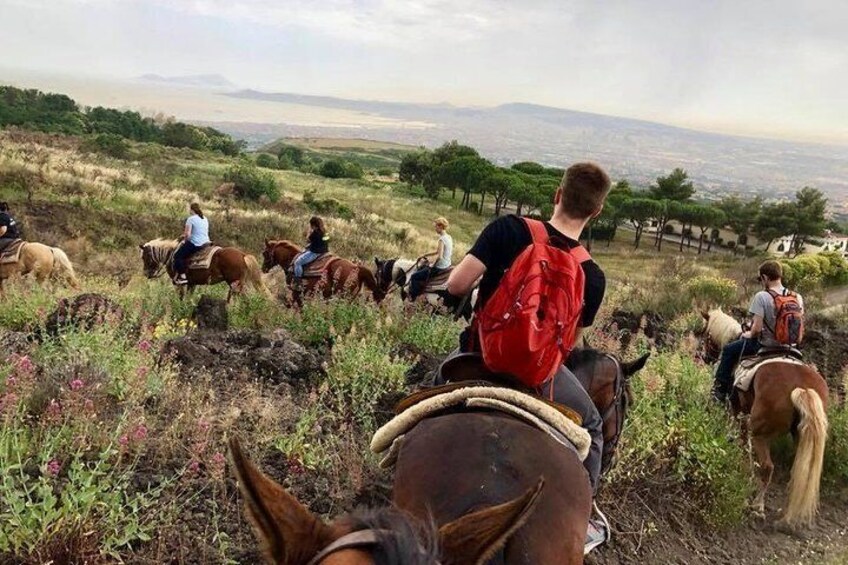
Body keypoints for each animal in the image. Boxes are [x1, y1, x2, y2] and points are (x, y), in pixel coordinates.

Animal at [138, 237, 268, 300]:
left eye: (144, 257)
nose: (146, 274)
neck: (171, 254)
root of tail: (243, 255)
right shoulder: (192, 284)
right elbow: (188, 298)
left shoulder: (179, 284)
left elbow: (181, 297)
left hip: (234, 283)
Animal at [704, 308, 828, 524]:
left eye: (704, 333)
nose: (703, 356)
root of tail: (802, 387)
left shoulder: (736, 409)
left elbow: (741, 442)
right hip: (802, 436)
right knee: (799, 470)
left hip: (760, 433)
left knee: (767, 467)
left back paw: (757, 506)